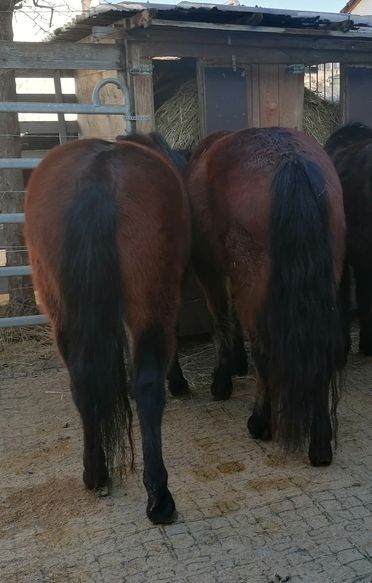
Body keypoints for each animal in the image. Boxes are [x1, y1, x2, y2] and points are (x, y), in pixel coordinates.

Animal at [24, 133, 190, 524]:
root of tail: (96, 174)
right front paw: (177, 381)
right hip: (151, 301)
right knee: (148, 387)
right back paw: (159, 496)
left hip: (60, 309)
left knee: (81, 383)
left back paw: (95, 473)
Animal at [186, 126, 346, 466]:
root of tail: (290, 161)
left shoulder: (210, 270)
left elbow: (221, 320)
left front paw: (222, 380)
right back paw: (320, 443)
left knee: (264, 352)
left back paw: (260, 420)